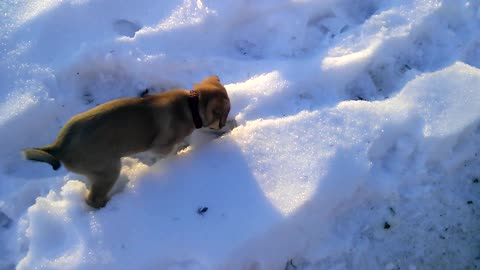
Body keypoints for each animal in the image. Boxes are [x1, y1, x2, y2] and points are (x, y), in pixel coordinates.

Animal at [23, 76, 231, 209]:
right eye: (224, 113)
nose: (224, 124)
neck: (191, 105)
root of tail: (58, 147)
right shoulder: (161, 146)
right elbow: (170, 151)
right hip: (109, 169)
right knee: (93, 199)